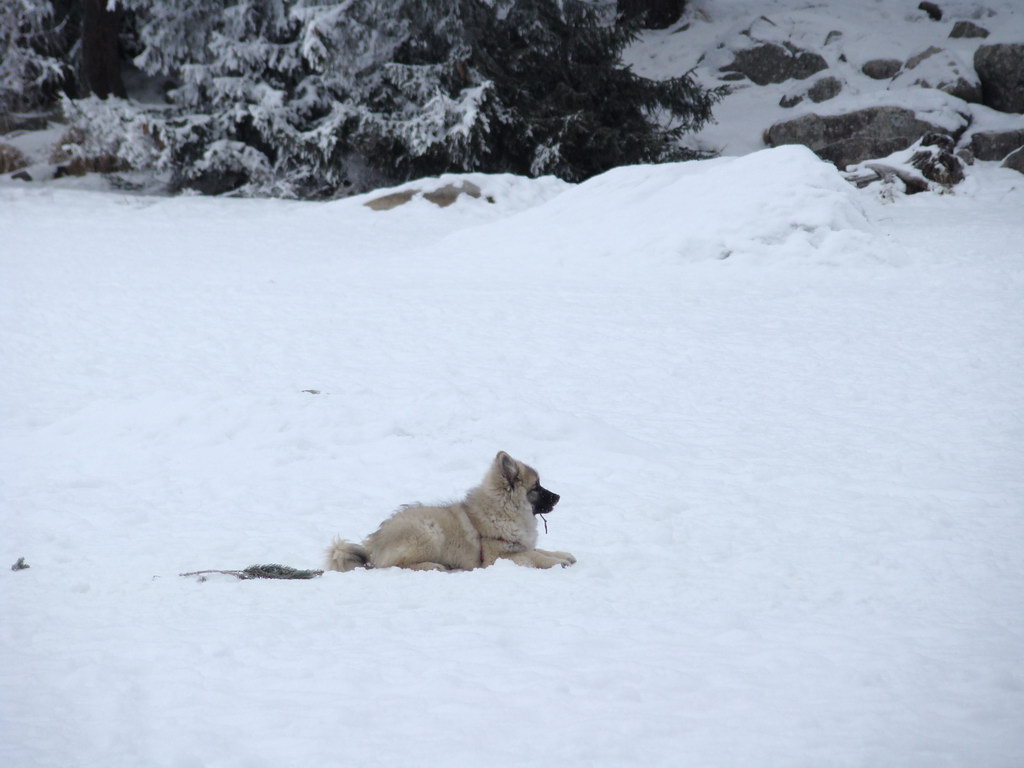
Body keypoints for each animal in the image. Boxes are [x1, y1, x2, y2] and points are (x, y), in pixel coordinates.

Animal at [323, 450, 573, 573]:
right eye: (537, 487)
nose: (559, 497)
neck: (502, 509)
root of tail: (371, 547)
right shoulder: (499, 555)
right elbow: (536, 556)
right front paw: (557, 563)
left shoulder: (519, 545)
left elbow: (541, 550)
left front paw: (563, 555)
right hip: (429, 532)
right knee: (395, 565)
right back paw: (432, 566)